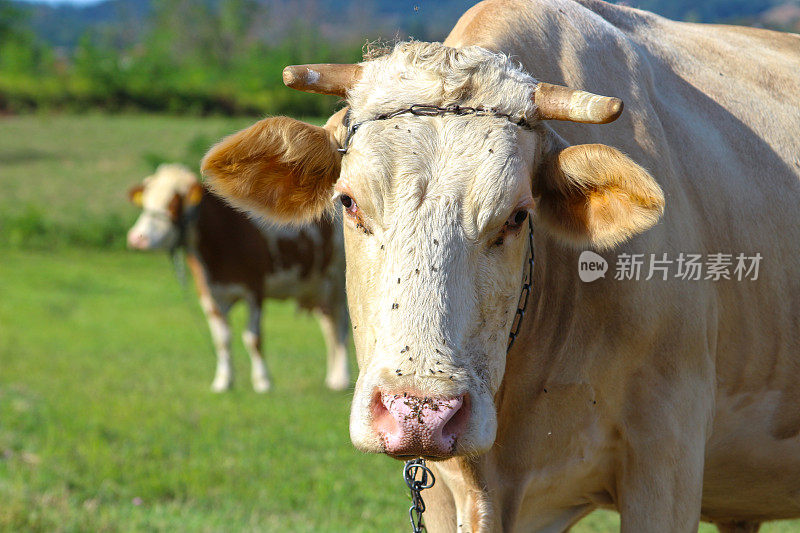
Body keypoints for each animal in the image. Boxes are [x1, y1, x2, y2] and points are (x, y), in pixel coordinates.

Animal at [126, 162, 348, 390]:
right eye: (145, 202)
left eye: (173, 203)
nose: (137, 238)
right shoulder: (210, 295)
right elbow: (221, 339)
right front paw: (223, 381)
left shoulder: (255, 290)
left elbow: (253, 338)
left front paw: (262, 381)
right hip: (318, 286)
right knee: (329, 327)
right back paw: (332, 378)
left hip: (340, 281)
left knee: (341, 326)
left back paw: (341, 379)